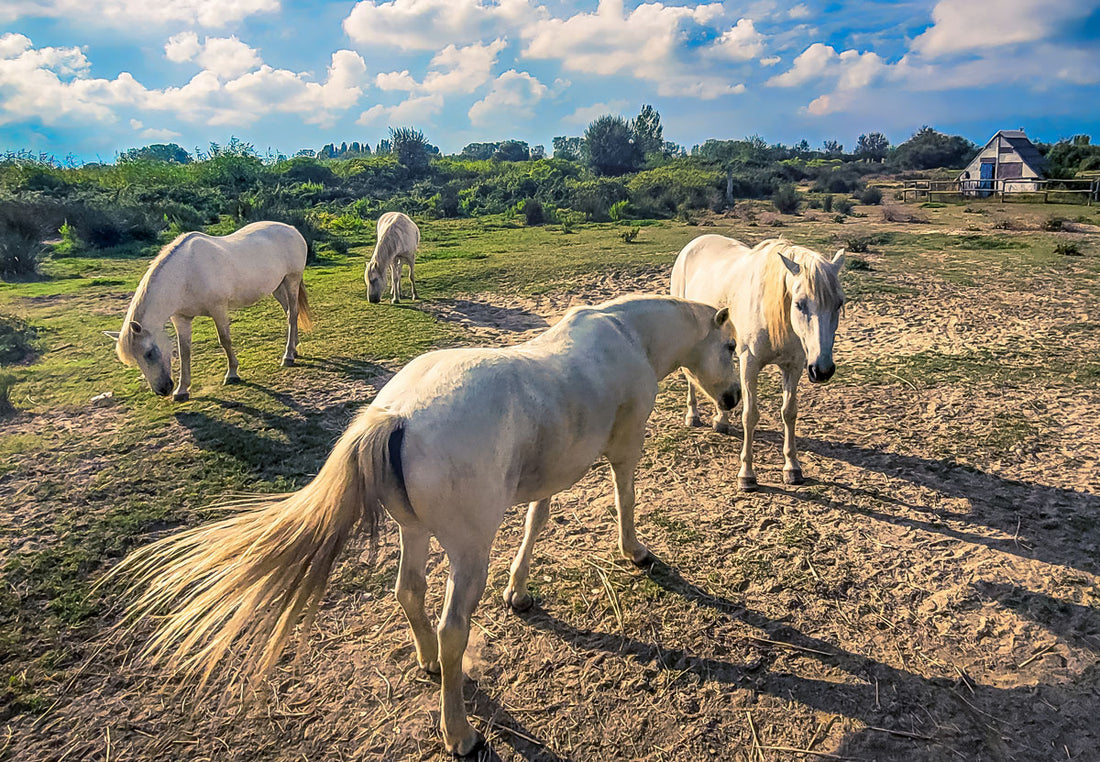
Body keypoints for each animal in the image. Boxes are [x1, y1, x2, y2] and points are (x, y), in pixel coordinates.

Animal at [105, 221, 312, 404]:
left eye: (149, 353)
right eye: (135, 359)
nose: (163, 390)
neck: (185, 273)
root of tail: (292, 229)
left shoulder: (218, 309)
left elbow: (224, 340)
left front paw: (232, 374)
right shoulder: (181, 319)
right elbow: (184, 350)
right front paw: (182, 390)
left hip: (291, 281)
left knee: (292, 315)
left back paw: (288, 356)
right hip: (277, 287)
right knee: (289, 314)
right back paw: (294, 348)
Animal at [105, 294, 739, 752]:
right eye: (730, 344)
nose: (733, 398)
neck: (625, 335)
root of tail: (397, 415)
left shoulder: (547, 478)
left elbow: (536, 522)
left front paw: (519, 591)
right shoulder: (624, 452)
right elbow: (625, 500)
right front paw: (637, 554)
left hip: (415, 534)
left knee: (409, 592)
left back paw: (429, 662)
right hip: (467, 554)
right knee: (452, 626)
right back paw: (459, 732)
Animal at [668, 235, 840, 490]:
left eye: (839, 304)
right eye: (799, 304)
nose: (823, 370)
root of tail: (694, 243)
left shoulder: (794, 366)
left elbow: (789, 412)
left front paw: (792, 468)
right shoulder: (750, 363)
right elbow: (750, 415)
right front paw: (746, 474)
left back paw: (721, 420)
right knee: (691, 377)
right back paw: (693, 416)